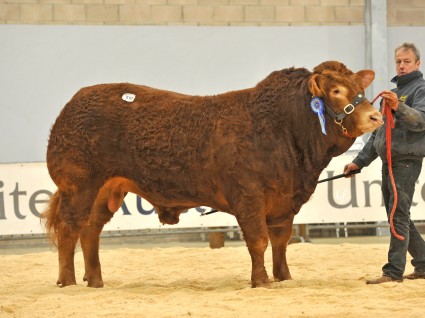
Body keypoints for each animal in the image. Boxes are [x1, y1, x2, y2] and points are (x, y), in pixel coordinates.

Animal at [41, 60, 382, 288]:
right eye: (336, 90)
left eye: (361, 89)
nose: (376, 116)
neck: (284, 128)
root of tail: (74, 103)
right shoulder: (249, 197)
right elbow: (258, 240)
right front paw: (261, 281)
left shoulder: (285, 202)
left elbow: (281, 241)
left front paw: (284, 277)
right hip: (79, 186)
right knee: (70, 229)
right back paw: (68, 281)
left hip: (108, 190)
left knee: (90, 230)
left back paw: (95, 281)